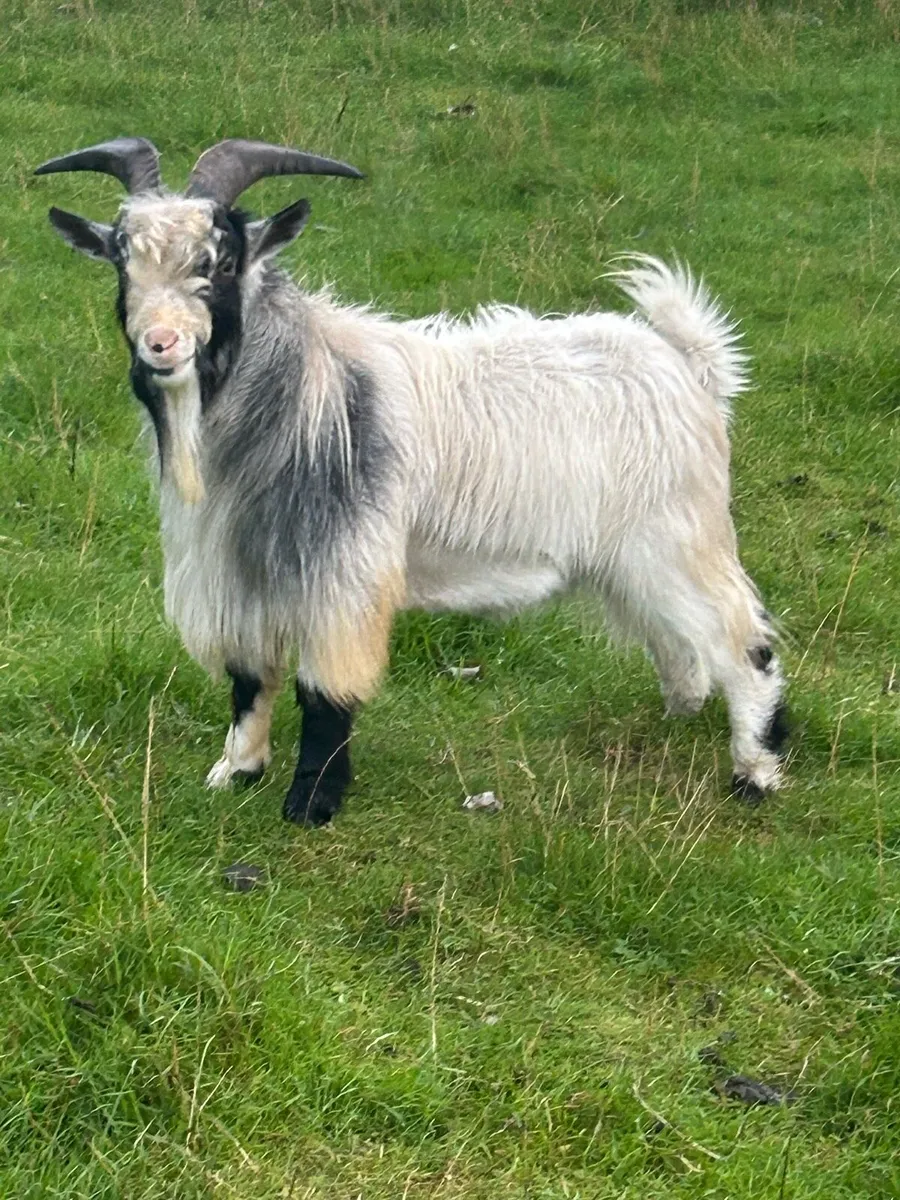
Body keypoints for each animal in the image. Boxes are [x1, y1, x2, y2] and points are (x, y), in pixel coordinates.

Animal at [36, 136, 788, 825]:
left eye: (219, 261)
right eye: (121, 260)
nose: (160, 345)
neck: (311, 392)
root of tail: (689, 364)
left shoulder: (345, 572)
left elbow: (324, 691)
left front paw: (309, 804)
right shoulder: (241, 572)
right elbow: (250, 678)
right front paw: (236, 771)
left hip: (679, 536)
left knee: (744, 641)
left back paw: (757, 771)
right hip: (630, 557)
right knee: (679, 640)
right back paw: (681, 709)